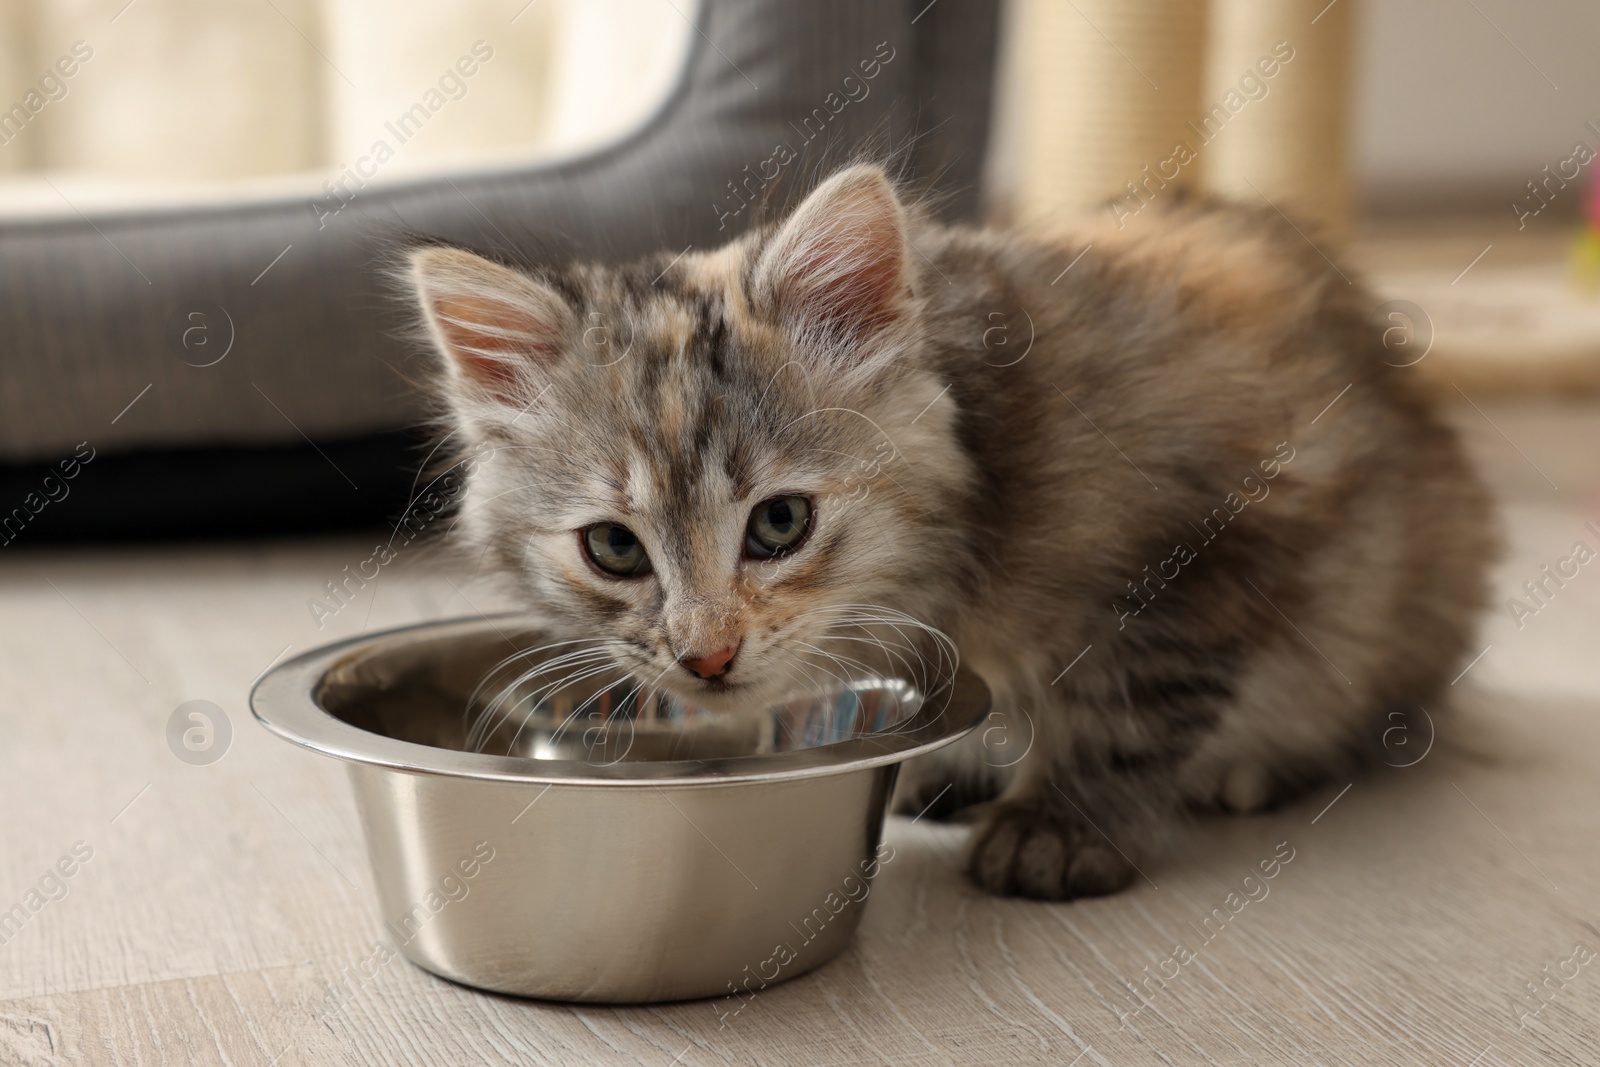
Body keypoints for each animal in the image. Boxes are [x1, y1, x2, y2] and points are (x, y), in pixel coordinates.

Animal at [406, 164, 1491, 902]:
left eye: (780, 523)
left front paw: (1057, 824)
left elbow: (1121, 704)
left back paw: (1246, 768)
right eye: (616, 549)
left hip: (1403, 592)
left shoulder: (1213, 542)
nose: (705, 655)